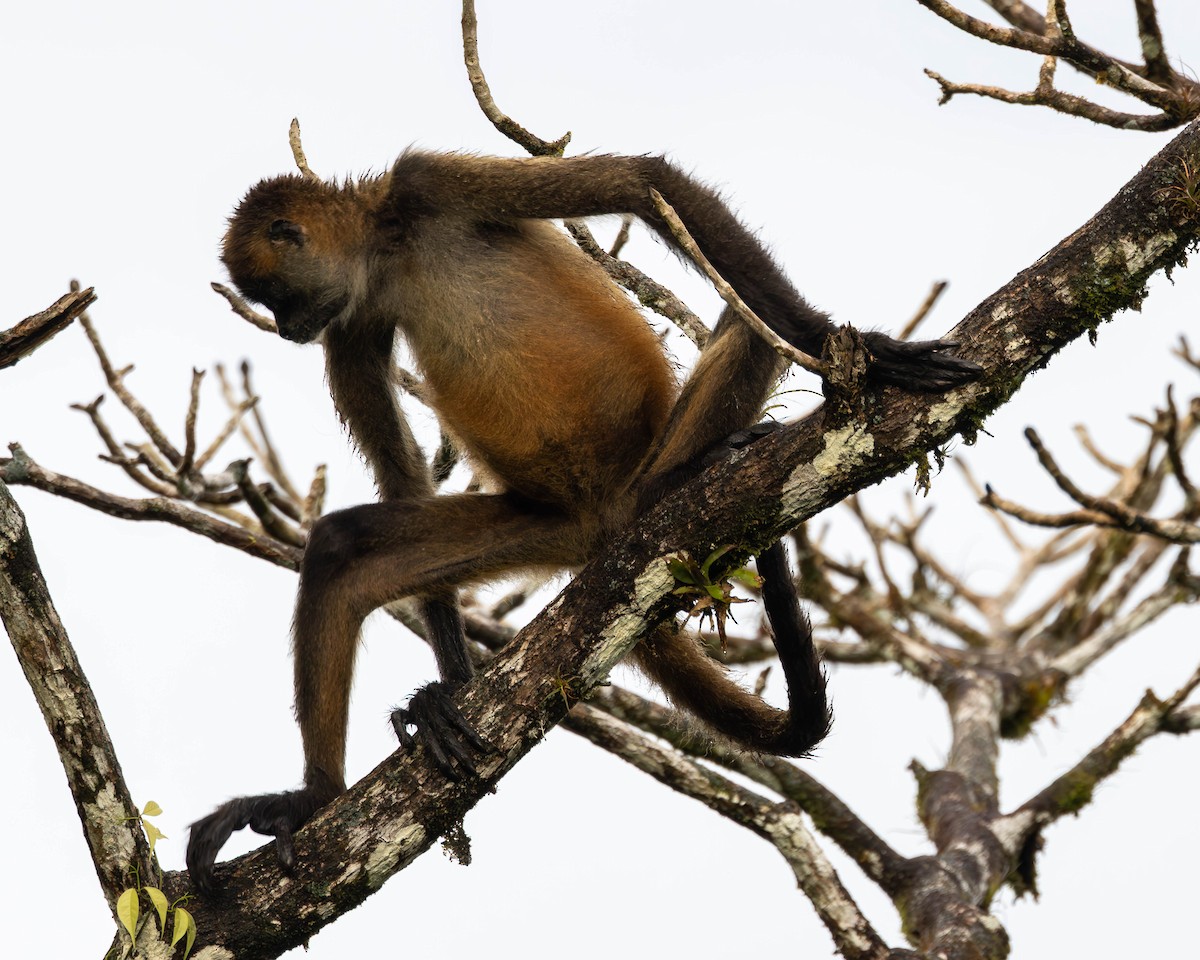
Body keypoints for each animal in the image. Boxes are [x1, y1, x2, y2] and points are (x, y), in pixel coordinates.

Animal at [186, 151, 981, 892]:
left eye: (273, 296)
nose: (285, 330)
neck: (387, 249)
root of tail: (604, 522)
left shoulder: (426, 184)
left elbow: (643, 183)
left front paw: (874, 351)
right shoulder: (350, 319)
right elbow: (397, 470)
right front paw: (448, 693)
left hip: (634, 470)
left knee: (749, 322)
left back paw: (682, 475)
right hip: (540, 523)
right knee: (339, 552)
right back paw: (313, 801)